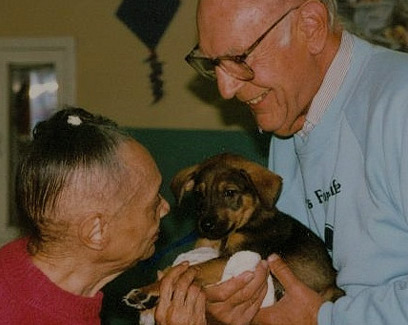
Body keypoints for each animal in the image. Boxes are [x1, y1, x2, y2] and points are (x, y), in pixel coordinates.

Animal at [124, 154, 344, 318]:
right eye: (199, 194)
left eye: (229, 192)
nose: (205, 225)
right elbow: (179, 267)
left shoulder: (239, 255)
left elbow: (190, 269)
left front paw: (147, 290)